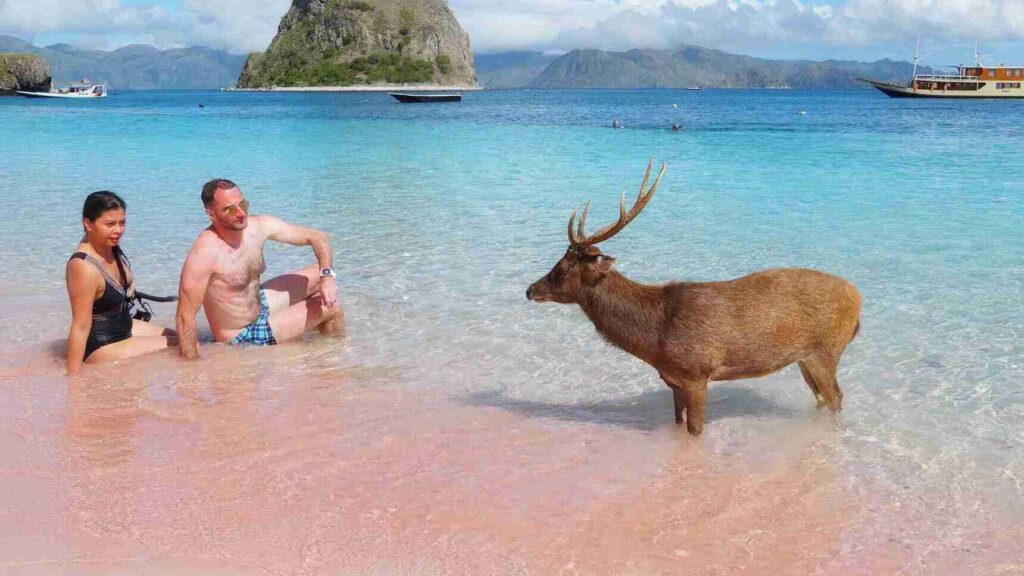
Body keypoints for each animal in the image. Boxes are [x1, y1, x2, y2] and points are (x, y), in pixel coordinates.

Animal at [528, 158, 864, 432]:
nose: (530, 290)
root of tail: (858, 300)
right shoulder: (673, 380)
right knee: (822, 397)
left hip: (826, 350)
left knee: (836, 396)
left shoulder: (697, 373)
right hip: (805, 358)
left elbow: (695, 431)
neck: (654, 338)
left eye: (561, 269)